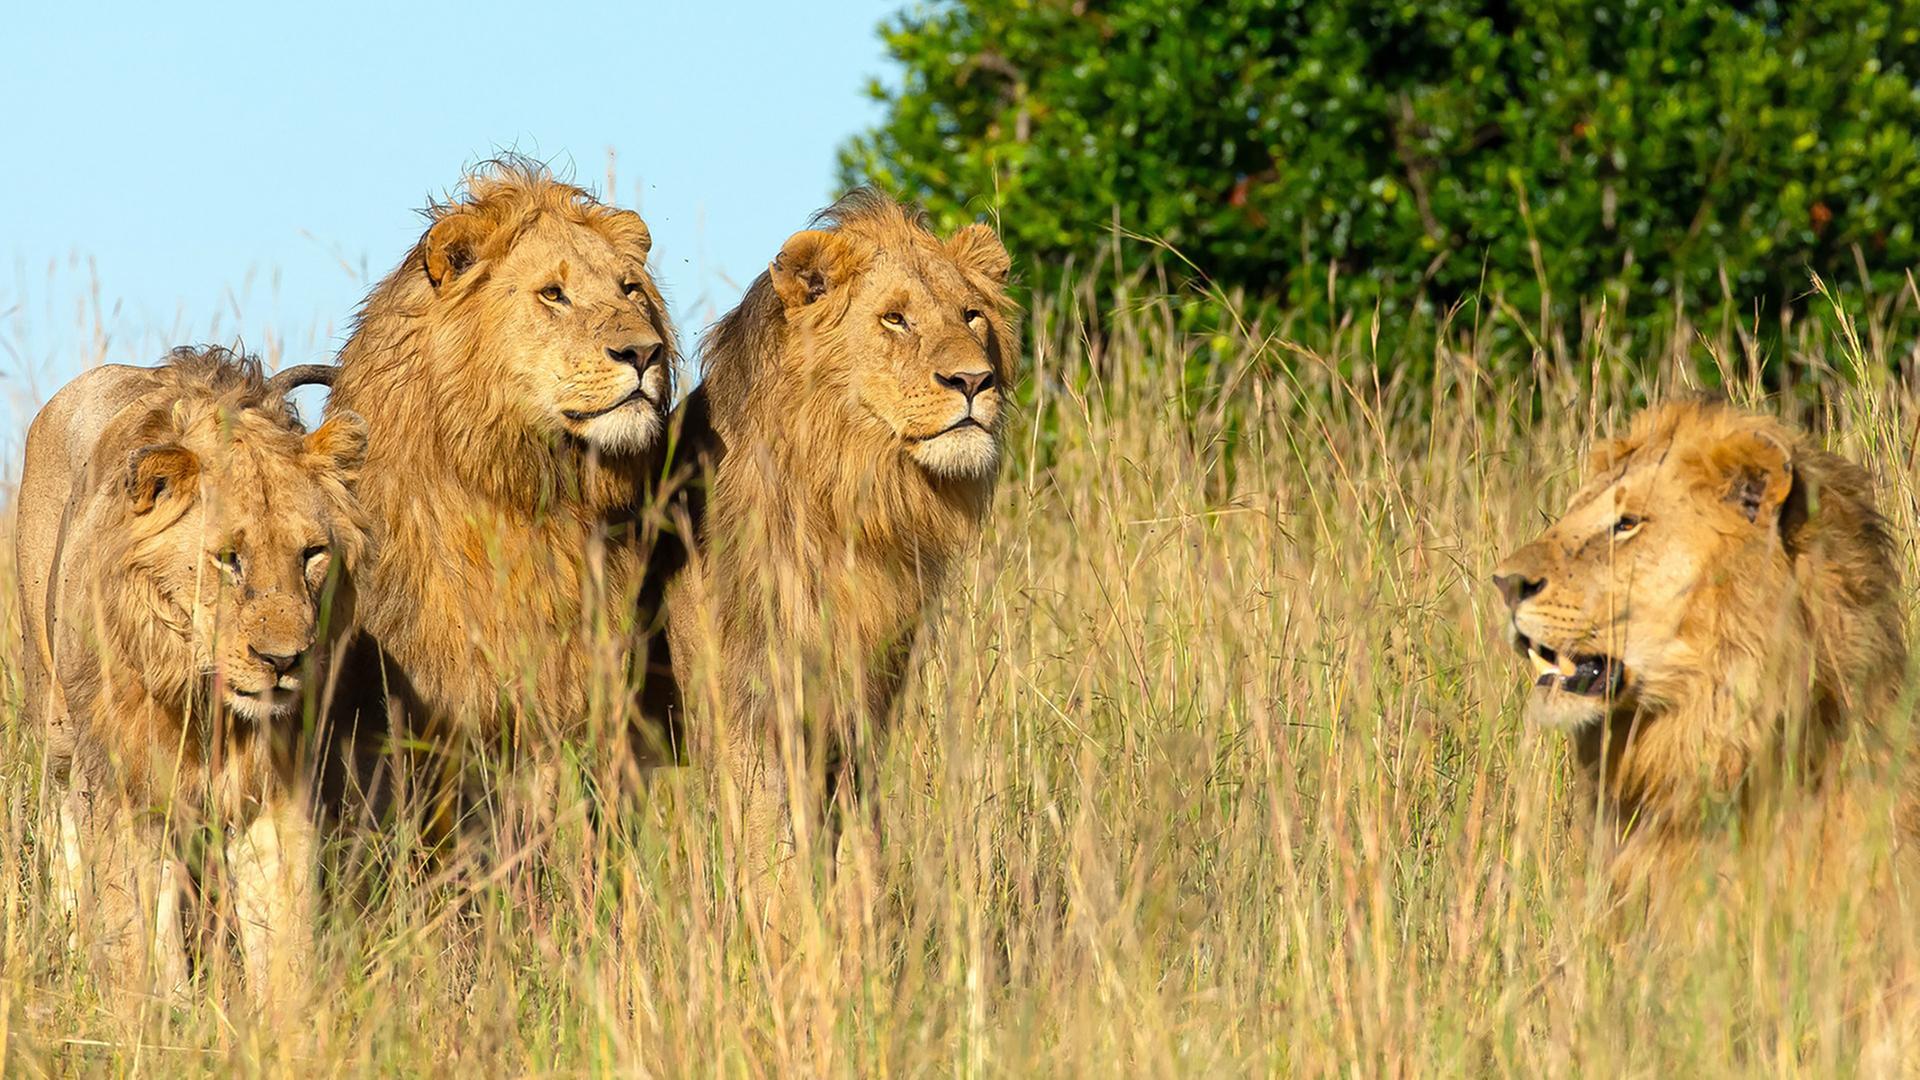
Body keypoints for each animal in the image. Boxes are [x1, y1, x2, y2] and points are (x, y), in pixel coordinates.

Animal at [15, 346, 367, 1005]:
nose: (283, 661)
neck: (203, 697)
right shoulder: (121, 780)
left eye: (312, 554)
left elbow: (284, 927)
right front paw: (148, 1013)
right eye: (228, 560)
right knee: (63, 831)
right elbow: (131, 922)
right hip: (55, 726)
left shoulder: (274, 785)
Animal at [649, 189, 1015, 879]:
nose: (973, 381)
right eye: (895, 319)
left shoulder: (862, 707)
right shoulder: (744, 708)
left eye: (972, 315)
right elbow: (766, 850)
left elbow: (857, 841)